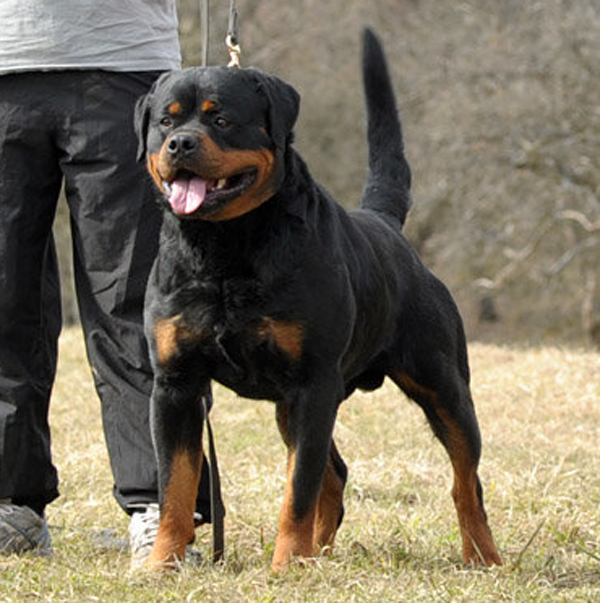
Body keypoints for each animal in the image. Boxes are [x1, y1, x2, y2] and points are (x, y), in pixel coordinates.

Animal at [135, 29, 502, 572]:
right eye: (166, 120)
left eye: (221, 119)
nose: (181, 142)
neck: (226, 249)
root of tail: (386, 227)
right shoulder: (176, 385)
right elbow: (175, 488)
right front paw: (163, 564)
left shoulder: (312, 382)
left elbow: (298, 489)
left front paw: (286, 564)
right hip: (295, 407)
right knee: (336, 475)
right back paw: (319, 554)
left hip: (444, 386)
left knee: (465, 479)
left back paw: (481, 554)